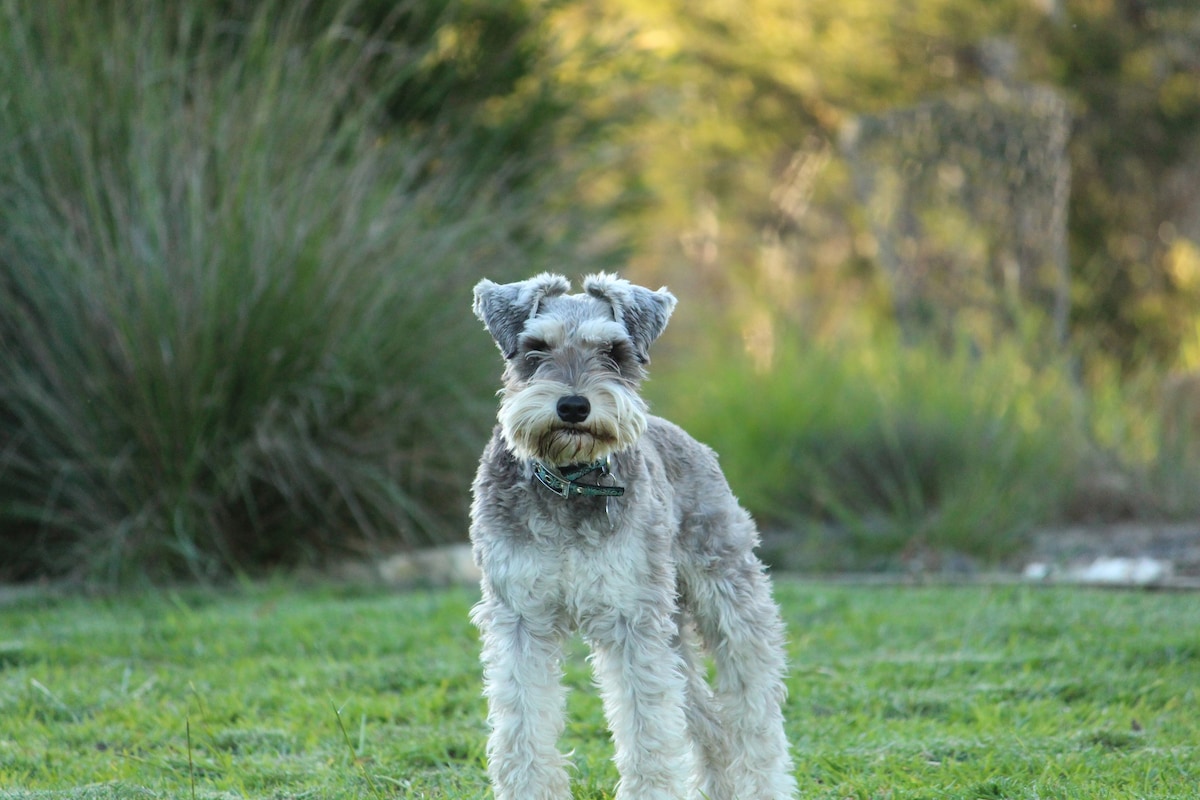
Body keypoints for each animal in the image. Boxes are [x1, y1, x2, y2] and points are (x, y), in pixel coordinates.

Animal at [468, 272, 796, 796]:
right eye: (536, 348)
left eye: (614, 351)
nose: (573, 406)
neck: (570, 480)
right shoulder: (520, 616)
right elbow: (521, 724)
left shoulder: (631, 618)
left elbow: (649, 728)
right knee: (706, 719)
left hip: (727, 597)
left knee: (752, 709)